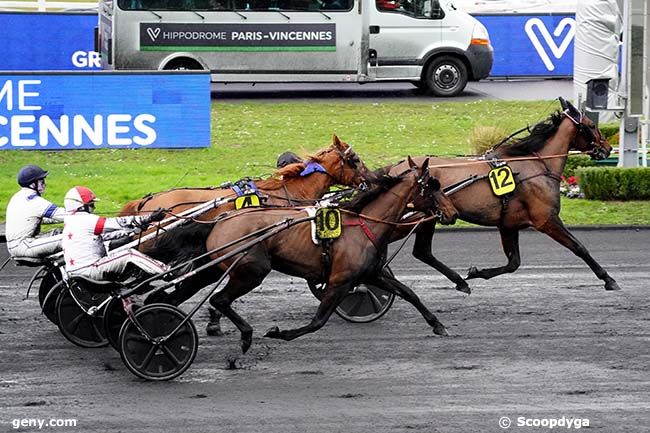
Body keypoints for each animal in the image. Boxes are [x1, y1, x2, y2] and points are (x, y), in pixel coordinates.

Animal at [200, 157, 458, 352]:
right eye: (433, 187)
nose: (453, 213)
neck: (365, 225)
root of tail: (219, 223)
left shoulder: (372, 275)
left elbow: (409, 293)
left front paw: (438, 325)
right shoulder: (340, 281)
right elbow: (318, 321)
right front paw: (280, 333)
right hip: (252, 271)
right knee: (219, 299)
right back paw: (245, 335)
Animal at [384, 97, 616, 292]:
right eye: (592, 125)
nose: (607, 147)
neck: (538, 165)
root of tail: (396, 168)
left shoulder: (508, 224)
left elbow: (513, 263)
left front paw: (476, 272)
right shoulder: (546, 219)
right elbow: (579, 247)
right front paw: (608, 279)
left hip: (428, 218)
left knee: (422, 252)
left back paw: (459, 282)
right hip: (408, 220)